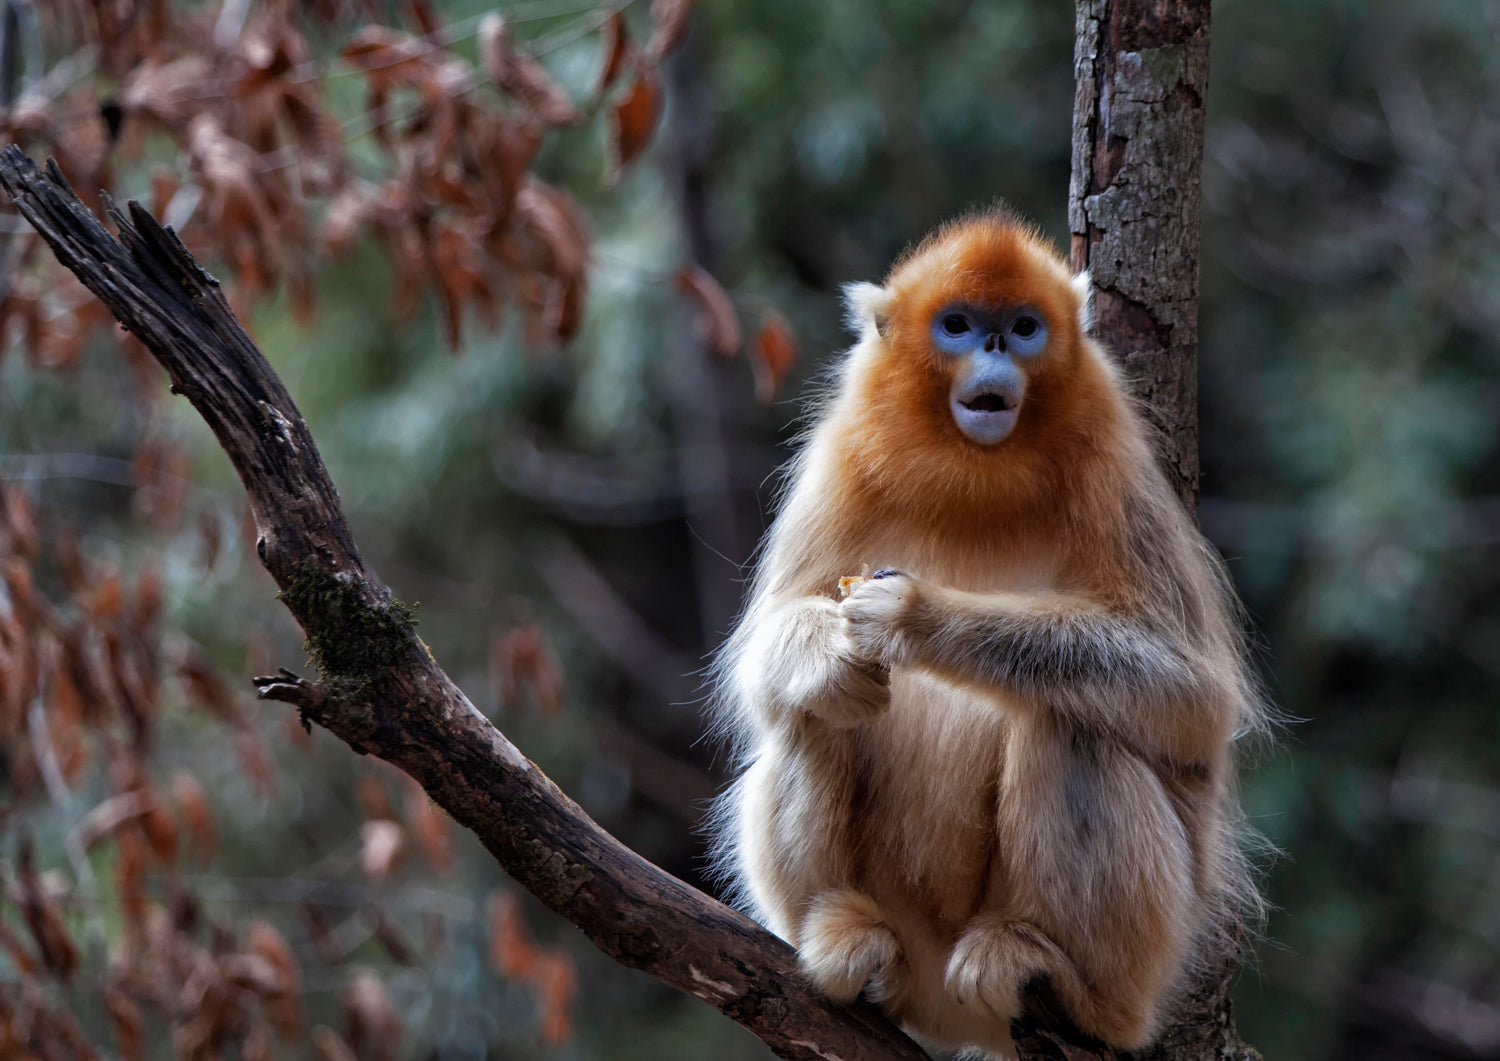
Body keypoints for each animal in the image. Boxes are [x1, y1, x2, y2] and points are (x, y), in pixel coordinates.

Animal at [708, 208, 1266, 1057]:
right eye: (959, 325)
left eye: (1025, 327)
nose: (996, 348)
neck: (977, 476)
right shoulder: (840, 456)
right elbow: (762, 660)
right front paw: (835, 650)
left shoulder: (1117, 464)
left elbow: (1193, 701)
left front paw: (917, 615)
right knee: (815, 708)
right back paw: (846, 933)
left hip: (1154, 947)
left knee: (1074, 723)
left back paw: (1056, 975)